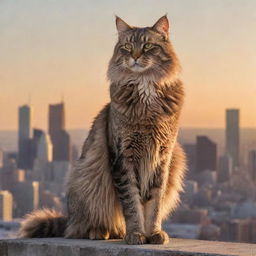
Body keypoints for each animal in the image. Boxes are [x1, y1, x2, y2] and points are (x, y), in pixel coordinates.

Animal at [19, 15, 186, 245]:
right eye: (127, 47)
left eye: (147, 46)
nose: (134, 57)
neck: (146, 89)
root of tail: (69, 218)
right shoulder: (122, 156)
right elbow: (132, 204)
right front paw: (136, 234)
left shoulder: (164, 157)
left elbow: (155, 204)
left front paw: (153, 233)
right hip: (87, 174)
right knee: (81, 227)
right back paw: (99, 231)